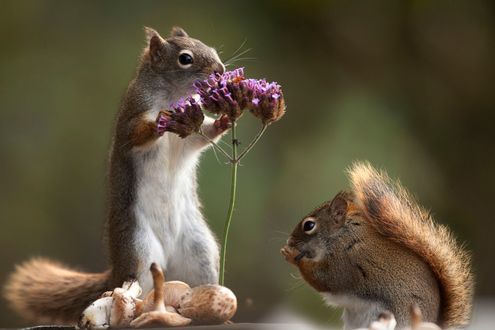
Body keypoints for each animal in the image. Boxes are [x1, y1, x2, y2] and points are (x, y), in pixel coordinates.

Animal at [4, 26, 229, 324]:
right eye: (185, 59)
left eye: (211, 49)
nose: (220, 70)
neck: (172, 94)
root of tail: (117, 269)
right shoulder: (131, 118)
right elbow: (137, 134)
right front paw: (160, 121)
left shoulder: (187, 139)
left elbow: (199, 138)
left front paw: (225, 120)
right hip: (139, 250)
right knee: (138, 282)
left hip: (199, 251)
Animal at [282, 163, 472, 330]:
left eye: (309, 225)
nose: (289, 241)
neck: (342, 234)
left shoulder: (346, 260)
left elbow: (324, 278)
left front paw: (290, 255)